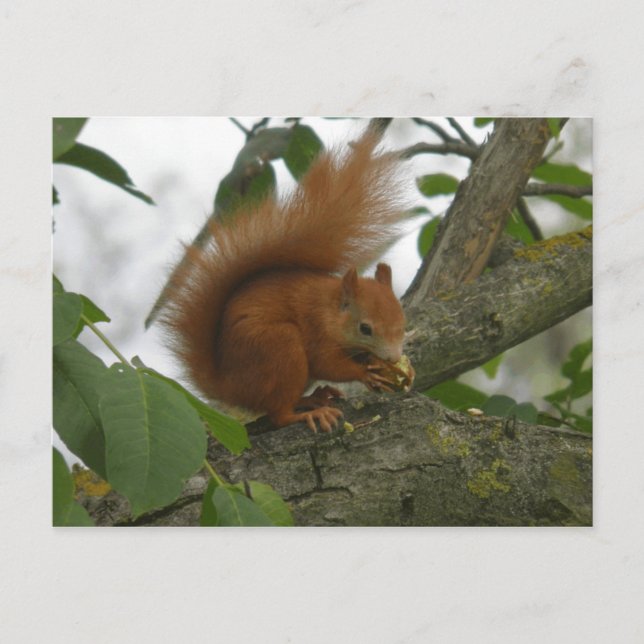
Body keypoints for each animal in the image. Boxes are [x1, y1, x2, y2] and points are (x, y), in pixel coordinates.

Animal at [159, 129, 409, 433]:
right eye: (365, 329)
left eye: (403, 323)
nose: (393, 358)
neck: (330, 308)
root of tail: (231, 387)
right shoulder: (316, 330)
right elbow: (328, 364)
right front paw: (365, 373)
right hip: (280, 349)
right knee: (278, 414)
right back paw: (310, 412)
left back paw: (315, 397)